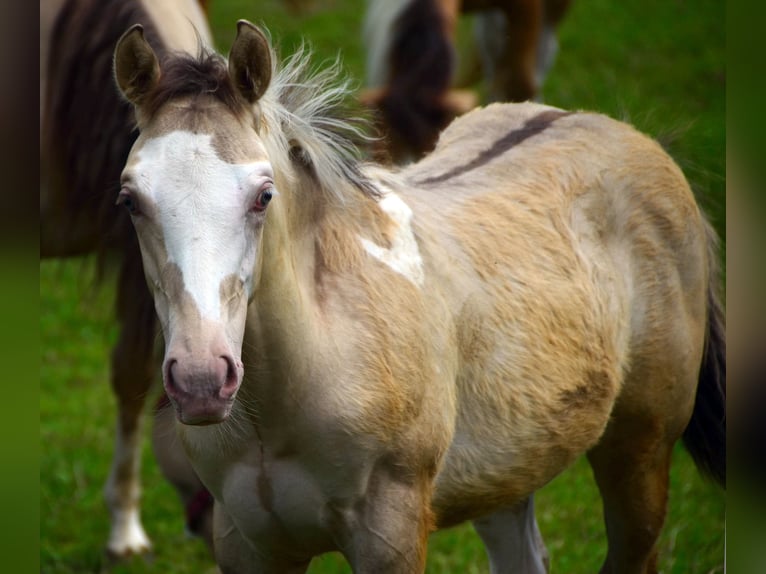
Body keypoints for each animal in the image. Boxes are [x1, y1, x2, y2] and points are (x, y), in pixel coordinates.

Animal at [111, 20, 724, 572]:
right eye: (129, 200)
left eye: (263, 195)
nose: (201, 380)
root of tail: (627, 136)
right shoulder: (247, 542)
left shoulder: (392, 534)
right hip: (505, 478)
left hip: (640, 451)